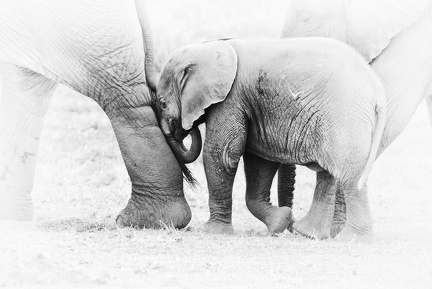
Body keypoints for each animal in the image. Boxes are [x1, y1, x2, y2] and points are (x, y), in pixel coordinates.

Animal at [154, 37, 386, 238]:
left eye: (163, 103)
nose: (185, 127)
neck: (212, 46)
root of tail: (377, 92)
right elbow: (260, 163)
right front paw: (280, 222)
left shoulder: (230, 99)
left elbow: (223, 154)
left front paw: (211, 231)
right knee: (329, 173)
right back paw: (308, 233)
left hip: (345, 115)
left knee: (349, 176)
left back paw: (352, 239)